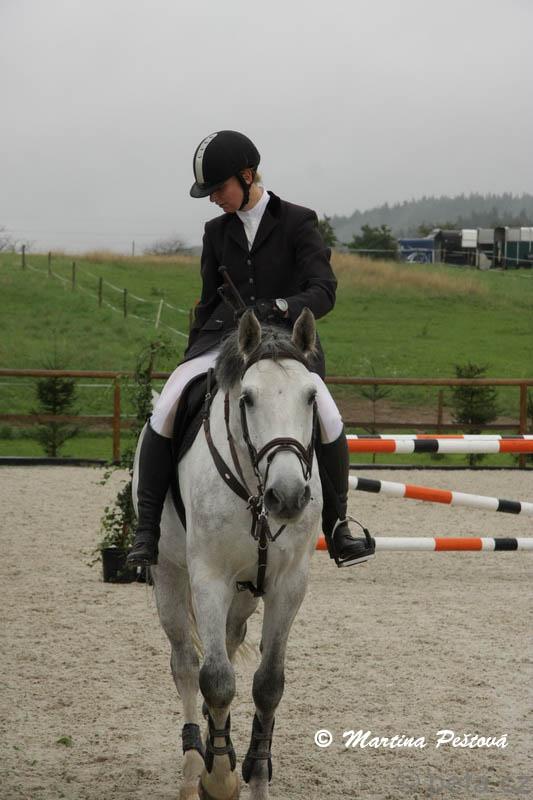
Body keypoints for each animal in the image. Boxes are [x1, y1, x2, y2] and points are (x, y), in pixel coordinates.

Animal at [133, 308, 323, 800]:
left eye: (311, 397)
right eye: (248, 399)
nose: (287, 498)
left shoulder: (288, 584)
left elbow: (268, 684)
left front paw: (256, 774)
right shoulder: (209, 579)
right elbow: (216, 681)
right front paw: (217, 779)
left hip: (246, 591)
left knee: (232, 640)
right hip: (170, 575)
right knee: (185, 663)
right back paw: (192, 763)